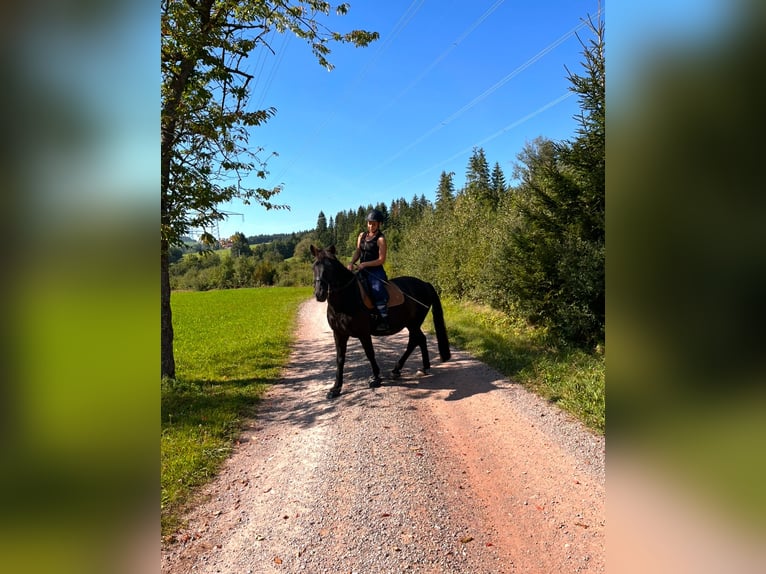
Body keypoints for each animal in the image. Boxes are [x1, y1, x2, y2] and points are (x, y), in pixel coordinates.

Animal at [312, 246, 452, 400]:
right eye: (314, 266)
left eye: (331, 267)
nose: (320, 293)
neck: (346, 300)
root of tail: (425, 284)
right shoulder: (339, 333)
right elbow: (340, 359)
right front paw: (335, 388)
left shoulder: (363, 332)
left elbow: (369, 353)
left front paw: (376, 378)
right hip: (411, 324)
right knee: (418, 340)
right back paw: (415, 368)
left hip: (414, 323)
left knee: (416, 340)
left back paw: (411, 368)